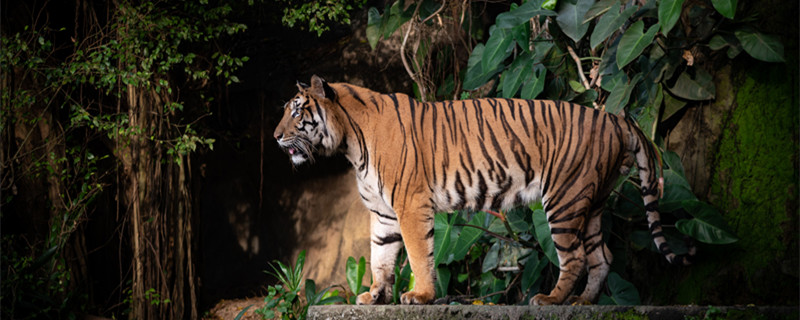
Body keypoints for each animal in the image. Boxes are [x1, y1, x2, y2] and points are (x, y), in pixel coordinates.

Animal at [272, 74, 692, 304]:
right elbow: (380, 257)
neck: (350, 143)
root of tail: (613, 119)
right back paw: (583, 304)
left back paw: (551, 300)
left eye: (296, 111)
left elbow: (418, 255)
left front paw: (420, 296)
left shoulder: (410, 205)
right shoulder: (383, 212)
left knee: (575, 258)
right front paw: (374, 295)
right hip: (592, 202)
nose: (275, 137)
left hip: (565, 198)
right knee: (601, 255)